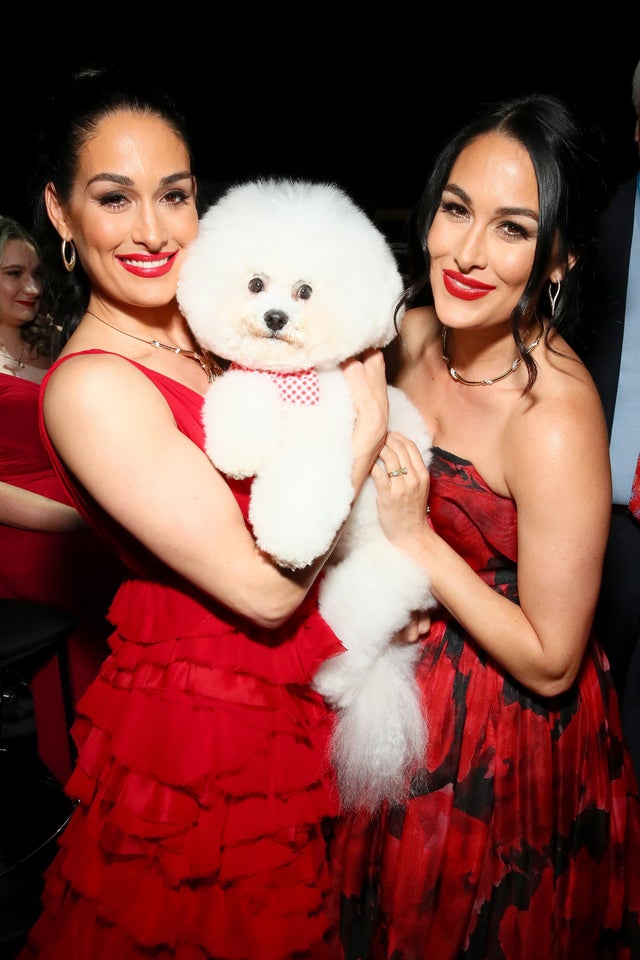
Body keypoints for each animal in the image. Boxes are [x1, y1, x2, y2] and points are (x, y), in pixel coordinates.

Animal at [178, 180, 432, 808]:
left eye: (306, 291)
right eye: (254, 283)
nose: (275, 316)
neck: (290, 384)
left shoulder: (325, 439)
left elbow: (300, 485)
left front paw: (290, 539)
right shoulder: (249, 379)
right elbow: (239, 398)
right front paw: (237, 446)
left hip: (377, 578)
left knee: (356, 634)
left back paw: (335, 681)